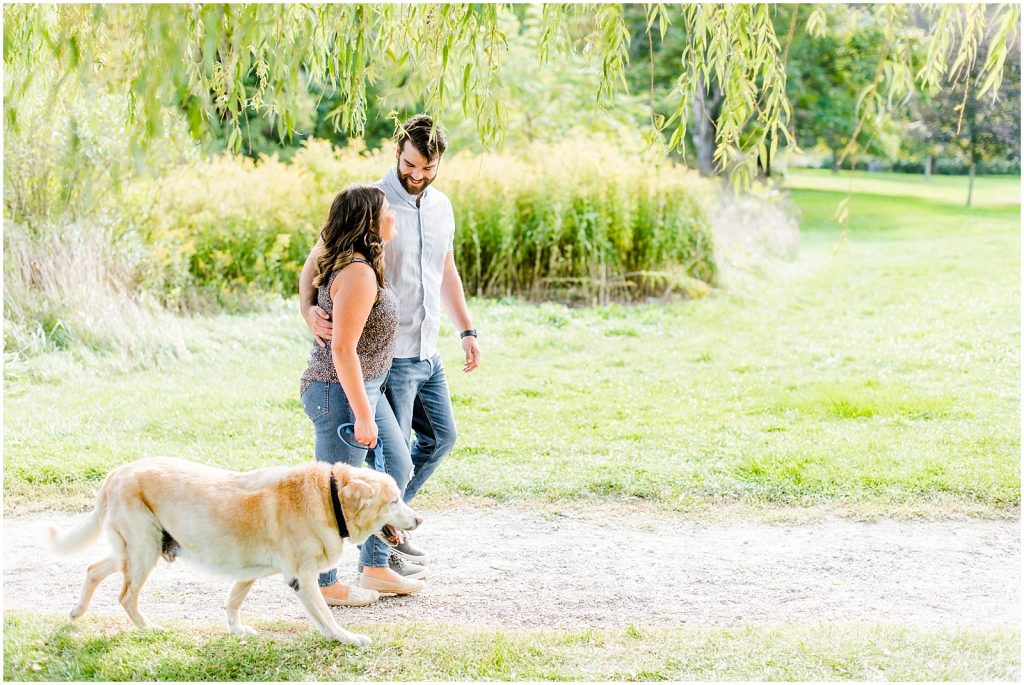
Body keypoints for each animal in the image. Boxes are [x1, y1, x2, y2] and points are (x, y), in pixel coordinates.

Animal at [48, 456, 419, 643]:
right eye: (394, 500)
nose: (419, 518)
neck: (330, 497)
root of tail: (116, 473)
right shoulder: (303, 579)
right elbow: (326, 617)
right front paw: (346, 638)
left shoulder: (248, 571)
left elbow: (233, 601)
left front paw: (237, 631)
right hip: (143, 551)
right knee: (125, 596)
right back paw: (148, 629)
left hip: (137, 550)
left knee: (93, 569)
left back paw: (77, 611)